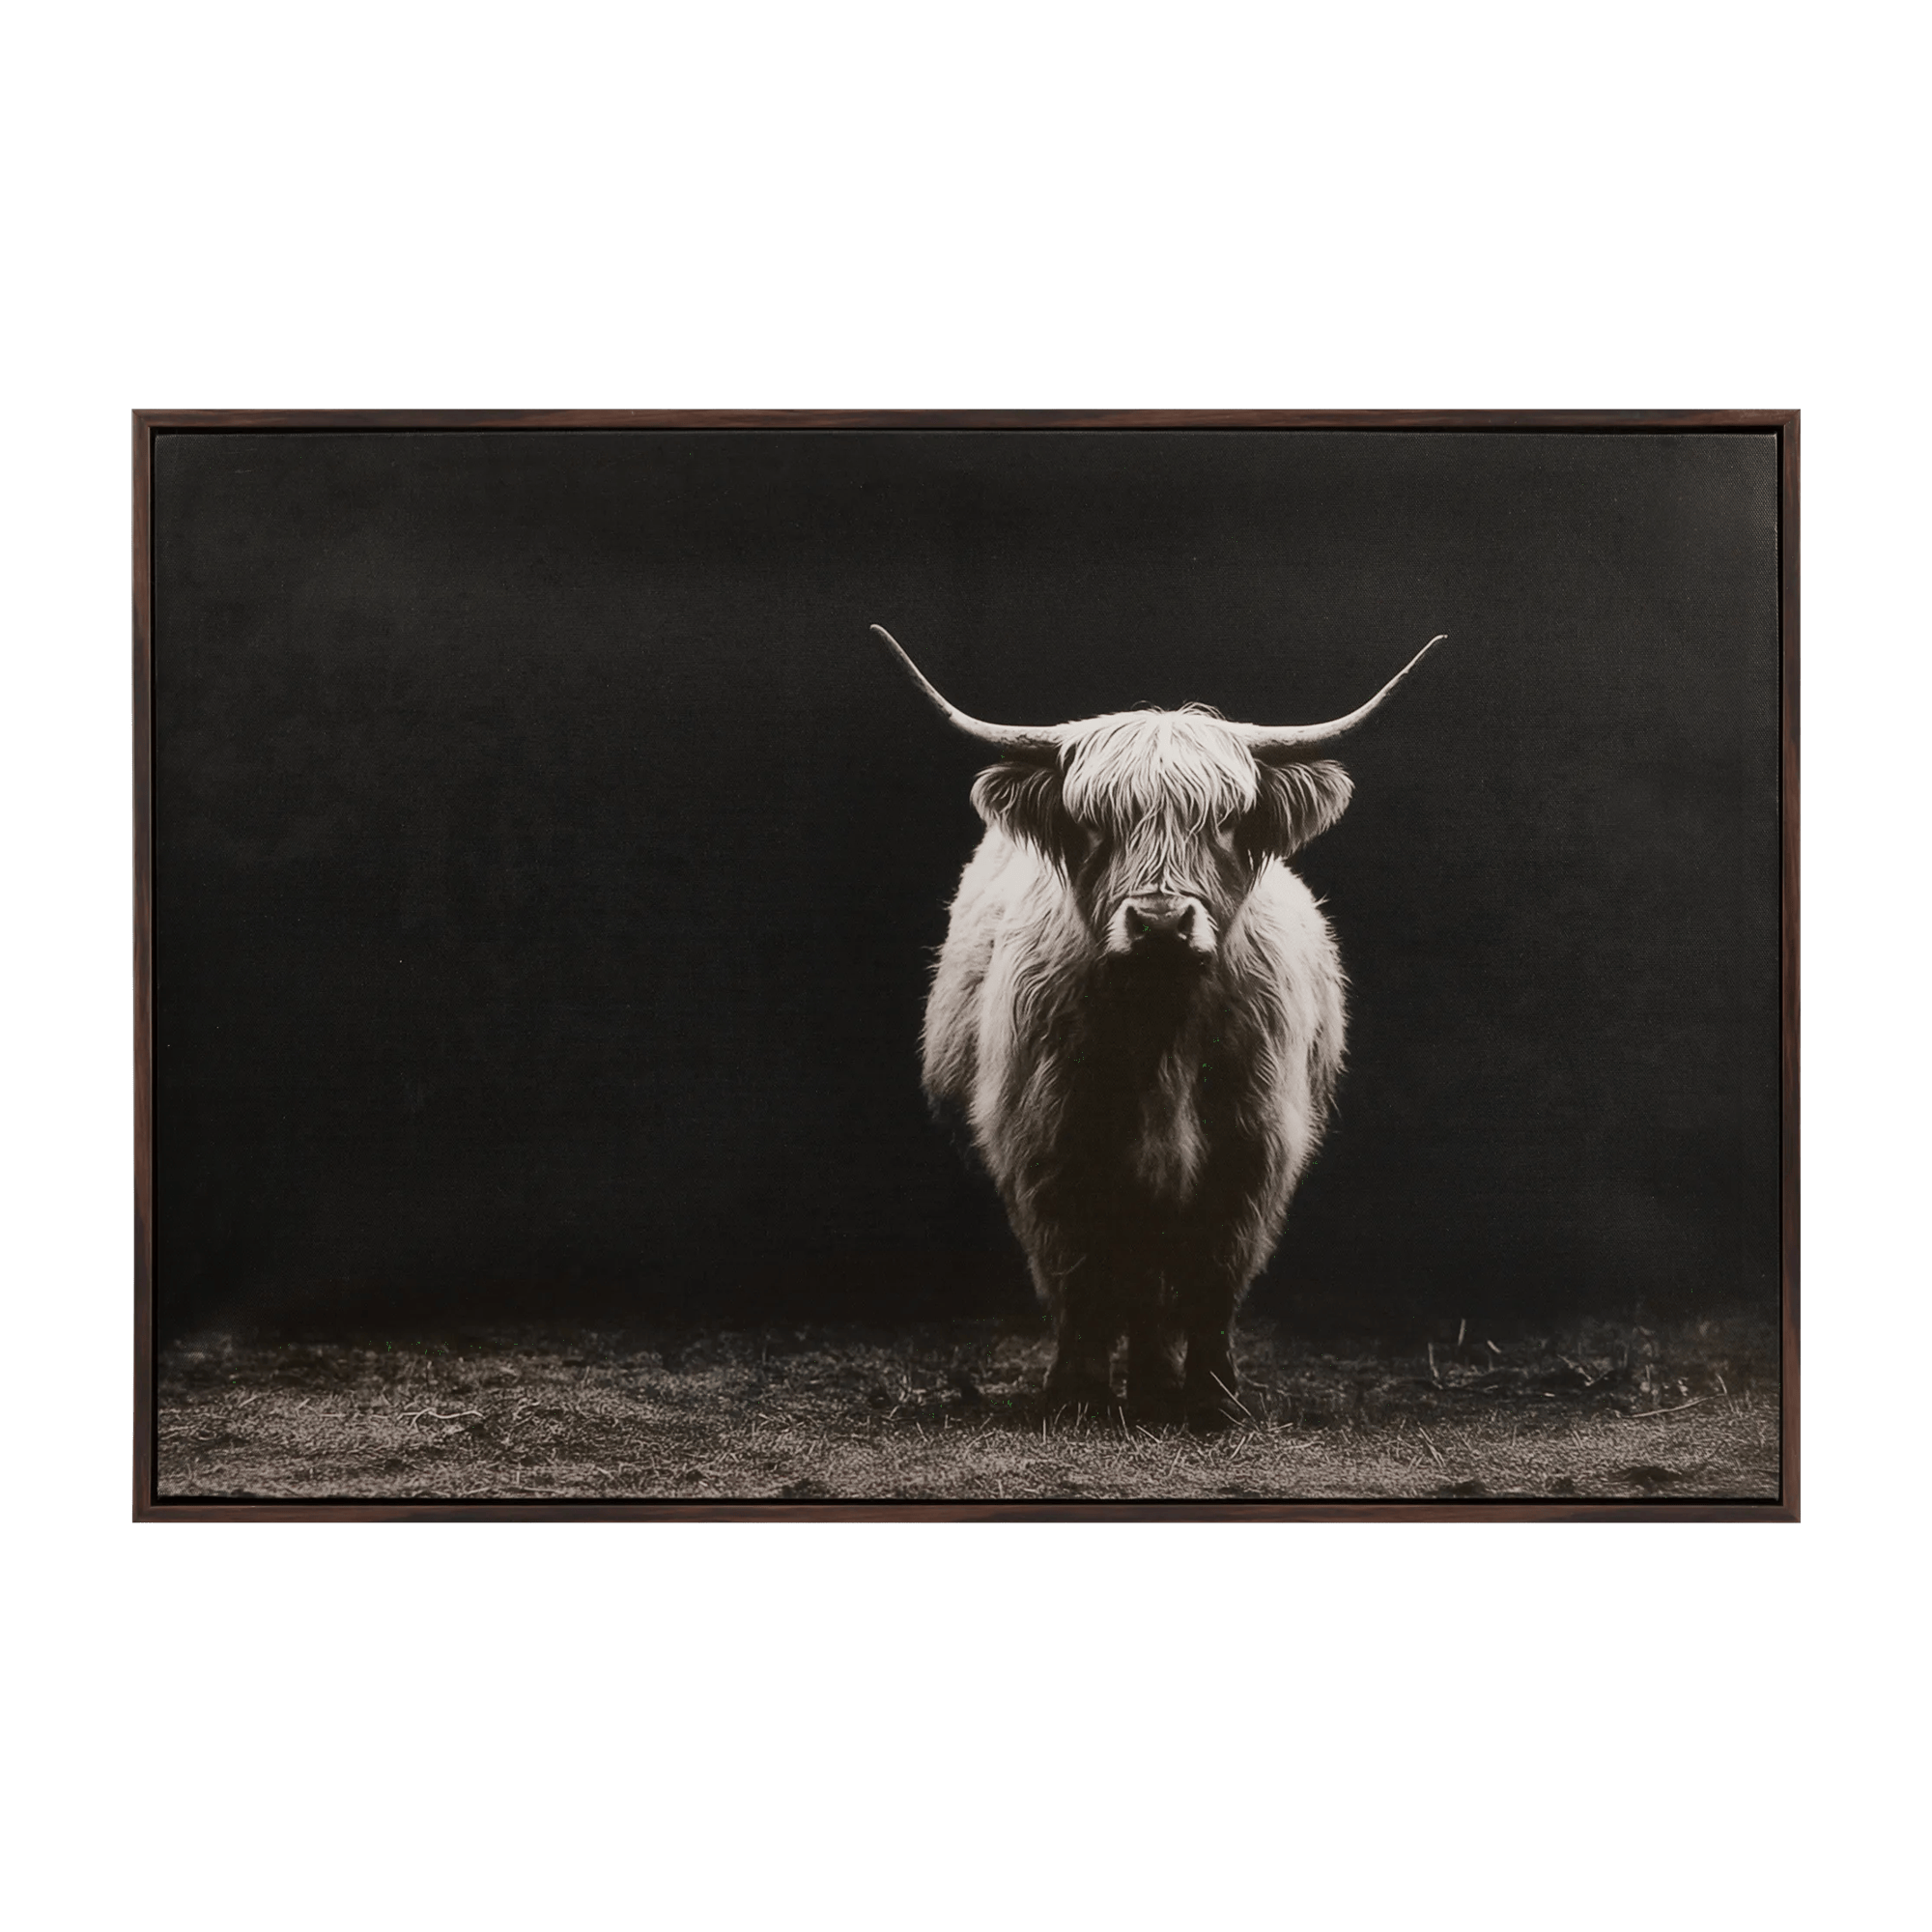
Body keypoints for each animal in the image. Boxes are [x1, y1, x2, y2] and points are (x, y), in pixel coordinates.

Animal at [874, 623, 1445, 1428]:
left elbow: (1214, 1278)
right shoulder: (1046, 1143)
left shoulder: (1252, 1148)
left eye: (1226, 822)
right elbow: (1078, 1278)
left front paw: (1210, 1396)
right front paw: (1078, 1394)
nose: (1161, 921)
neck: (1162, 1032)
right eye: (1094, 824)